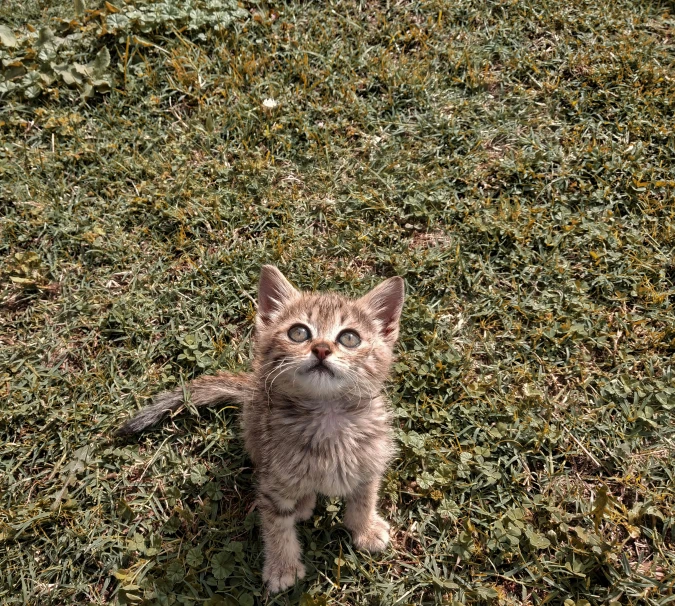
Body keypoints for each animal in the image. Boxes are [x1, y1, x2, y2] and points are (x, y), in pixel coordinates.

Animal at [117, 266, 404, 592]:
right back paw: (303, 502)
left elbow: (364, 498)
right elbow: (277, 525)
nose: (321, 349)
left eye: (350, 338)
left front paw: (365, 528)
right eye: (298, 332)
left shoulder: (371, 462)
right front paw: (282, 566)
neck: (327, 416)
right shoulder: (272, 482)